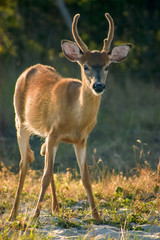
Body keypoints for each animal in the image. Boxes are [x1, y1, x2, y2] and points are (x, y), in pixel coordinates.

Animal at [10, 12, 132, 220]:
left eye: (107, 66)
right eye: (85, 66)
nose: (98, 86)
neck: (76, 119)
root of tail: (29, 69)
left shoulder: (81, 140)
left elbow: (86, 178)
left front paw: (96, 216)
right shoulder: (53, 133)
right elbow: (45, 175)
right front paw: (35, 216)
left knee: (41, 155)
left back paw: (55, 207)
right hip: (21, 122)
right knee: (25, 162)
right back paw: (14, 213)